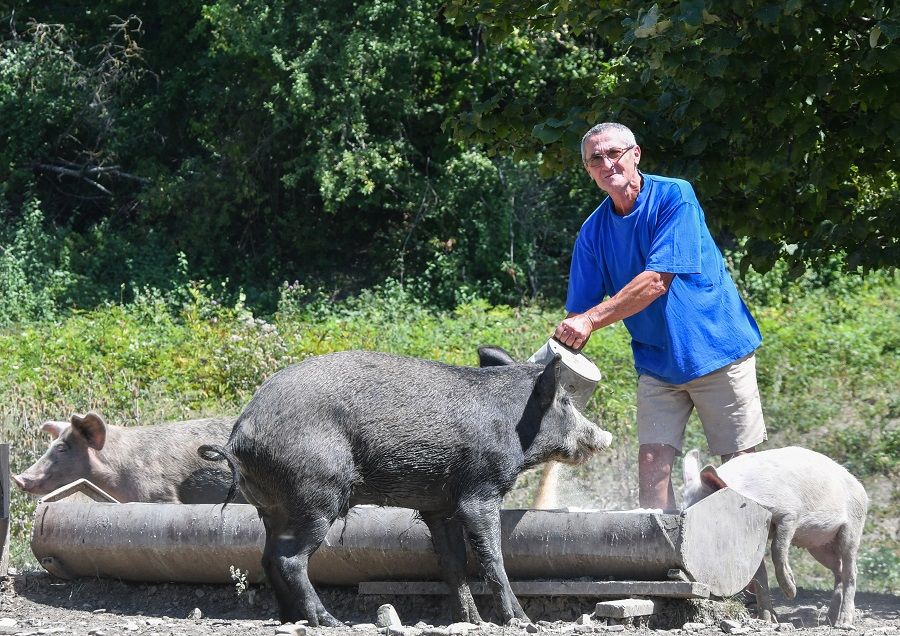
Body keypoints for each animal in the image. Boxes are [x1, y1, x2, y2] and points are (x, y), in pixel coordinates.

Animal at [202, 352, 612, 628]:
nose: (604, 437)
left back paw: (291, 621)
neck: (512, 424)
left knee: (268, 558)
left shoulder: (439, 505)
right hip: (316, 496)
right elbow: (492, 557)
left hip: (272, 508)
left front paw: (473, 622)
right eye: (564, 401)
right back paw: (332, 622)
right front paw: (524, 622)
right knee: (290, 560)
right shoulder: (479, 491)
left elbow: (453, 563)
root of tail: (240, 436)